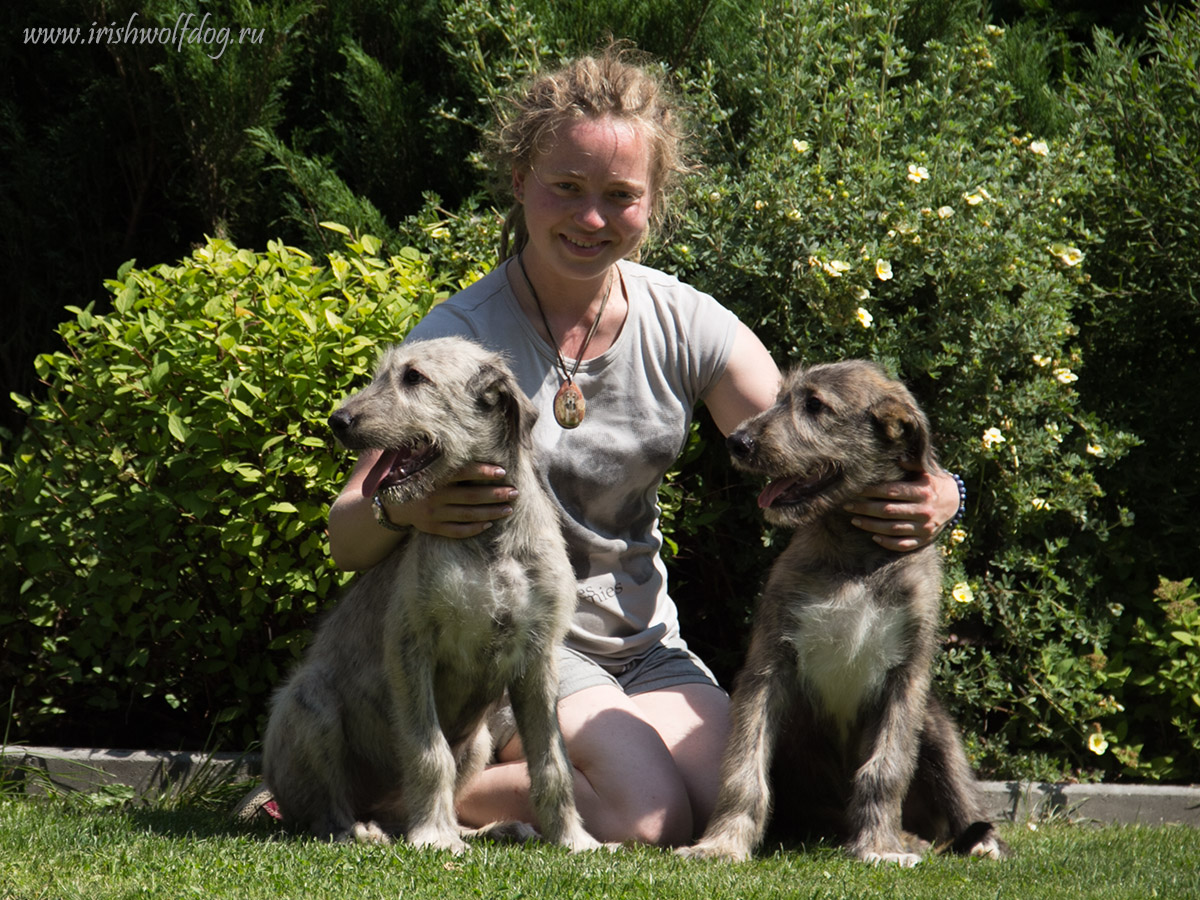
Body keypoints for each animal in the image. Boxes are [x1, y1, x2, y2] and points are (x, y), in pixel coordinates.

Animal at [264, 336, 600, 854]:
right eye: (382, 374)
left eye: (414, 378)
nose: (338, 421)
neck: (490, 540)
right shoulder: (412, 647)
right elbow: (428, 750)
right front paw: (435, 837)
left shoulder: (538, 657)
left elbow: (552, 761)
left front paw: (573, 839)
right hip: (308, 704)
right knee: (323, 811)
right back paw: (359, 830)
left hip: (479, 741)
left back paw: (486, 828)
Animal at [681, 362, 1008, 868]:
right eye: (780, 398)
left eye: (815, 405)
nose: (738, 441)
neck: (855, 554)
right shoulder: (768, 666)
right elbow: (744, 767)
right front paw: (722, 844)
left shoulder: (907, 678)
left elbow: (885, 769)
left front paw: (879, 847)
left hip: (934, 723)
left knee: (958, 792)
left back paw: (968, 841)